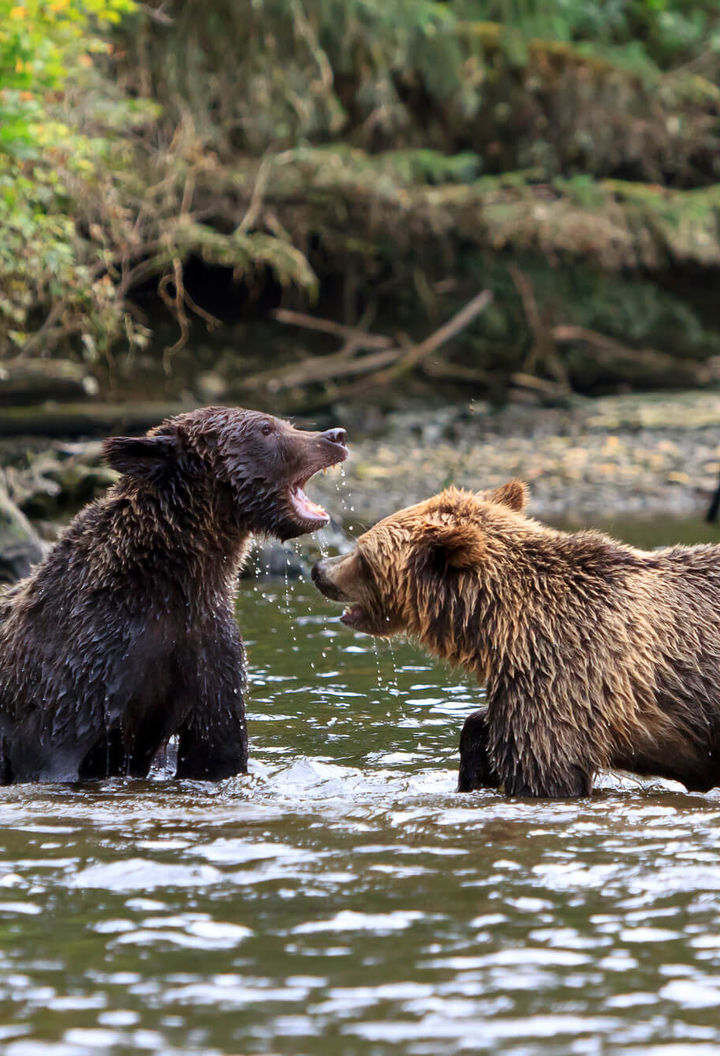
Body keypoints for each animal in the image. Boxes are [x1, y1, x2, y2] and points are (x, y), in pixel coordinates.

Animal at [0, 403, 348, 785]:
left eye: (283, 423)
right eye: (266, 429)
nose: (336, 436)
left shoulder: (205, 647)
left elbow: (218, 749)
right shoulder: (83, 659)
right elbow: (51, 748)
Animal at [310, 483, 720, 794]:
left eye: (362, 552)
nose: (319, 569)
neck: (503, 626)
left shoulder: (573, 670)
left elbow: (543, 764)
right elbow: (488, 728)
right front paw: (474, 765)